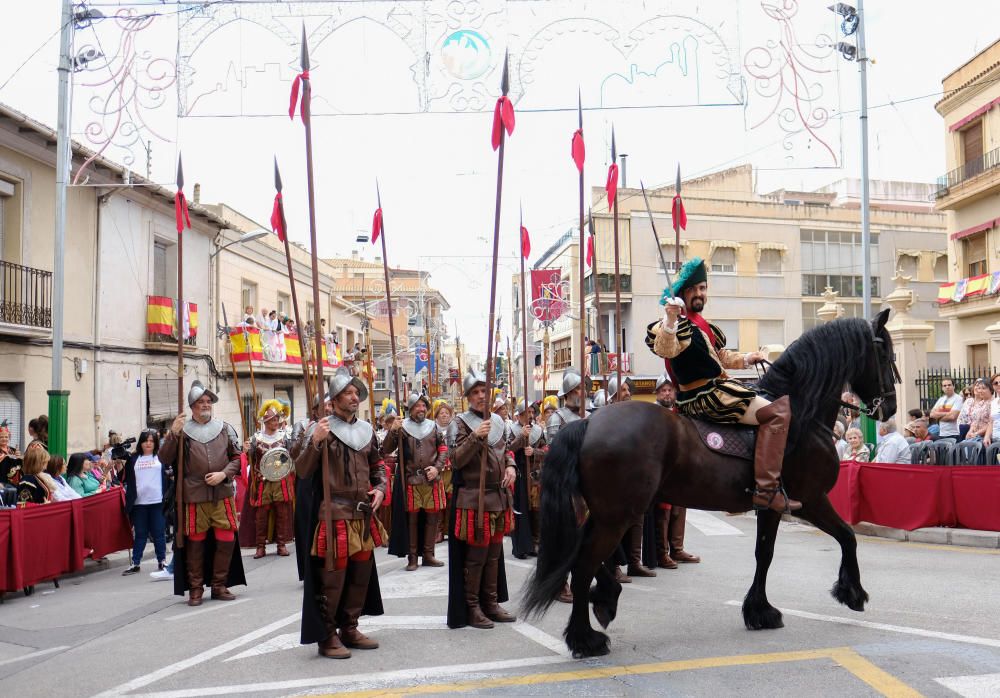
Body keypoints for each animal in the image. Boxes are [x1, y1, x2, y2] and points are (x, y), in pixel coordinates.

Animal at [524, 310, 900, 656]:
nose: (891, 407)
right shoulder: (810, 500)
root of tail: (589, 422)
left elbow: (764, 553)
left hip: (606, 513)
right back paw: (585, 638)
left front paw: (758, 610)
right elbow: (846, 537)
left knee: (581, 555)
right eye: (884, 354)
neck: (802, 415)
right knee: (583, 563)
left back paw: (604, 600)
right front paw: (852, 593)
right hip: (618, 515)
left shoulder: (771, 506)